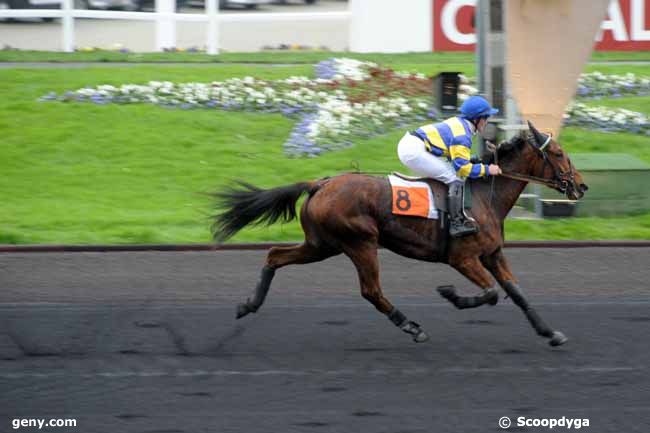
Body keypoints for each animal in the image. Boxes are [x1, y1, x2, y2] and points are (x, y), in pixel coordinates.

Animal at [211, 120, 588, 346]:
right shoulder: (463, 258)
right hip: (360, 243)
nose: (581, 186)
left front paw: (550, 333)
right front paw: (450, 294)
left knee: (275, 255)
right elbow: (492, 293)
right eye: (558, 153)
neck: (485, 196)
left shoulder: (493, 254)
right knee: (371, 291)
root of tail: (321, 183)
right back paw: (412, 327)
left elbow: (517, 293)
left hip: (322, 244)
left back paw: (248, 305)